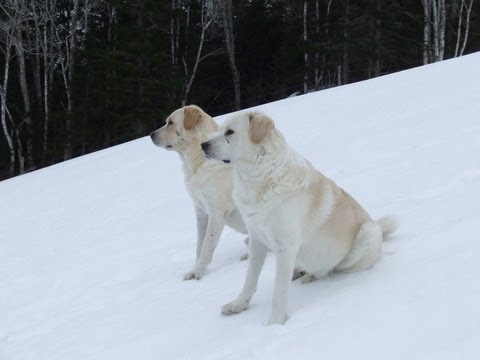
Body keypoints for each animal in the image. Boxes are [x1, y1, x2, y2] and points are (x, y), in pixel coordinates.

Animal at [150, 105, 248, 280]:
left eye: (171, 122)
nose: (150, 135)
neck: (198, 161)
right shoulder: (201, 212)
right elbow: (199, 246)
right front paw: (194, 270)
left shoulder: (217, 212)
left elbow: (206, 246)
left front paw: (198, 272)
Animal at [201, 111, 400, 324]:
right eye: (220, 129)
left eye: (229, 132)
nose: (203, 145)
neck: (260, 176)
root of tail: (378, 229)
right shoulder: (257, 240)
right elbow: (249, 280)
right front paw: (239, 305)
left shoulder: (285, 247)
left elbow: (279, 292)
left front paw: (275, 324)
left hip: (365, 236)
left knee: (330, 269)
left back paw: (311, 275)